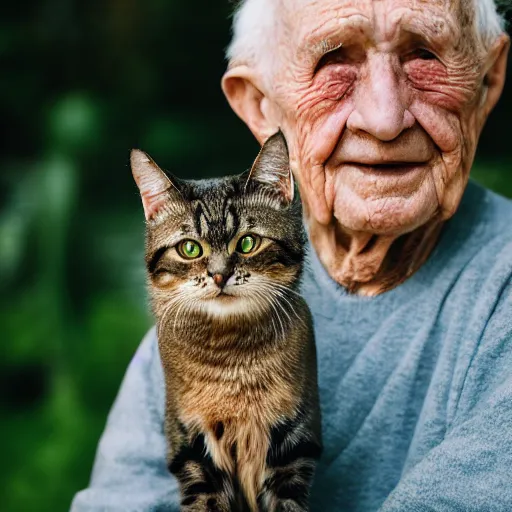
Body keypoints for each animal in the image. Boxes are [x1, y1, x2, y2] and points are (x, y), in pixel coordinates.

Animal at [130, 133, 320, 512]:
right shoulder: (192, 448)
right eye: (190, 248)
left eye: (247, 242)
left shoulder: (294, 446)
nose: (220, 275)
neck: (231, 358)